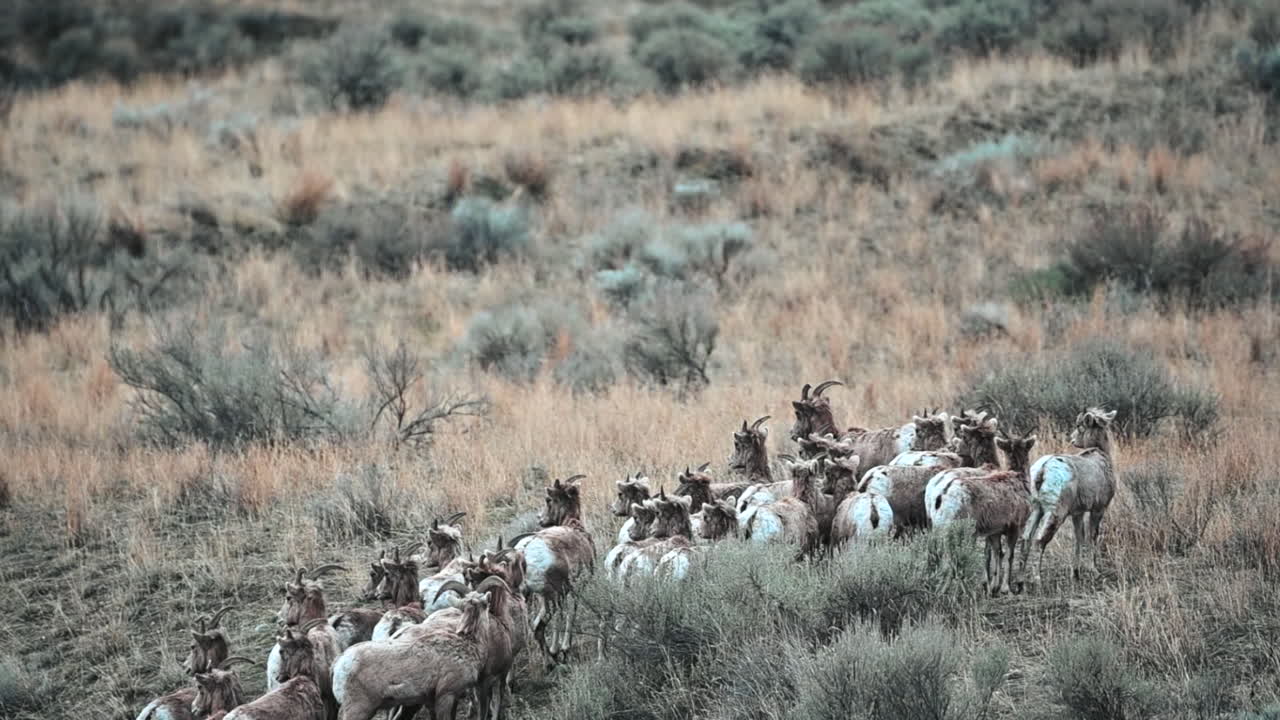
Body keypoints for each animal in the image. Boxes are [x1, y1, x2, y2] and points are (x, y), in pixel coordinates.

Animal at [512, 474, 595, 665]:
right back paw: (552, 659)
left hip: (529, 597)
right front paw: (563, 649)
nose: (540, 518)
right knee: (539, 626)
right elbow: (570, 613)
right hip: (550, 597)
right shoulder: (574, 590)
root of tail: (525, 552)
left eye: (548, 499)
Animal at [1020, 408, 1118, 588]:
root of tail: (1043, 468)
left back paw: (1020, 580)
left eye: (1079, 426)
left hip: (1036, 510)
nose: (1071, 439)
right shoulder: (1098, 509)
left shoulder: (1077, 513)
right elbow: (1091, 537)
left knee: (1026, 540)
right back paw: (1037, 580)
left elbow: (1078, 538)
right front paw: (1093, 571)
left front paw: (1076, 574)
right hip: (1055, 513)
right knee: (1039, 540)